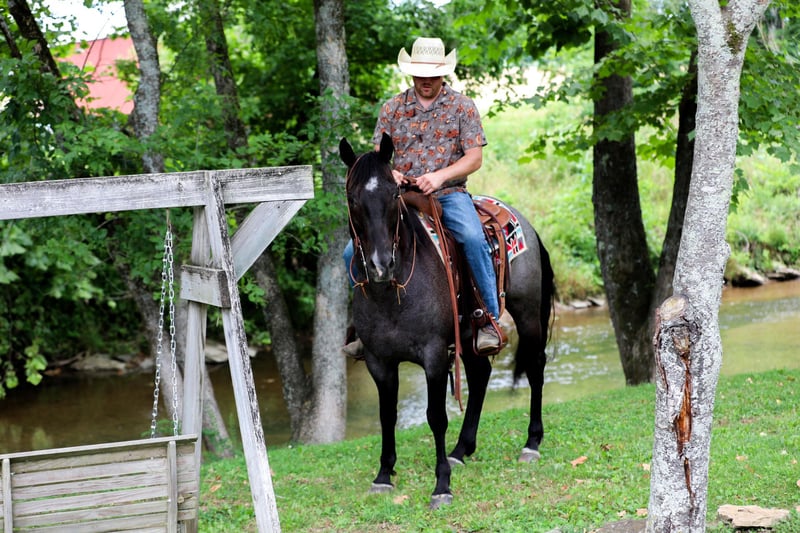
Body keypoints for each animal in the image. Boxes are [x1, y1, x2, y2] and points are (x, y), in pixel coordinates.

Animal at [340, 133, 555, 509]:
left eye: (394, 194)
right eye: (353, 198)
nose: (381, 265)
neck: (392, 292)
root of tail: (521, 219)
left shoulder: (435, 355)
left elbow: (436, 417)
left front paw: (441, 485)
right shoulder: (379, 361)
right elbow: (387, 415)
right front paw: (384, 475)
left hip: (527, 313)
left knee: (535, 367)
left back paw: (531, 443)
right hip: (469, 332)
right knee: (481, 374)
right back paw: (461, 449)